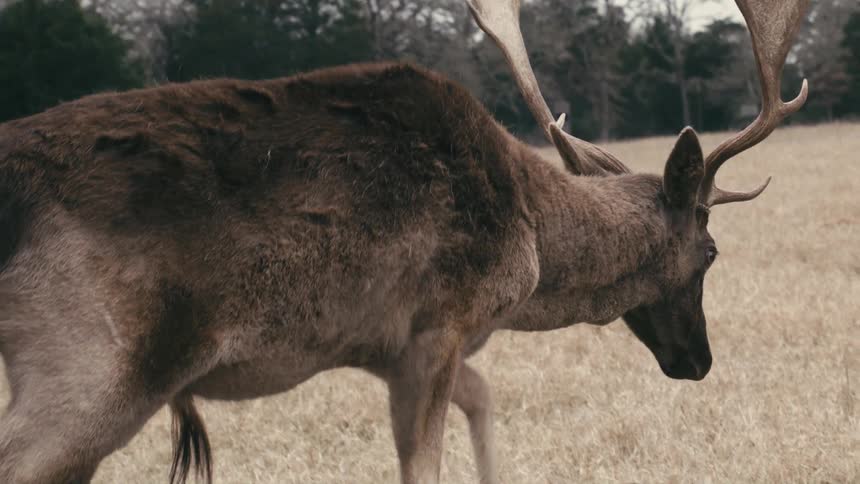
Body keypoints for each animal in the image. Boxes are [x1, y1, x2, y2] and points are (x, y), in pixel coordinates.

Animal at [0, 0, 810, 482]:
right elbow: (425, 463)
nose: (698, 362)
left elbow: (483, 401)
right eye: (711, 252)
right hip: (94, 367)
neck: (529, 239)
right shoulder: (436, 321)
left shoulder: (384, 345)